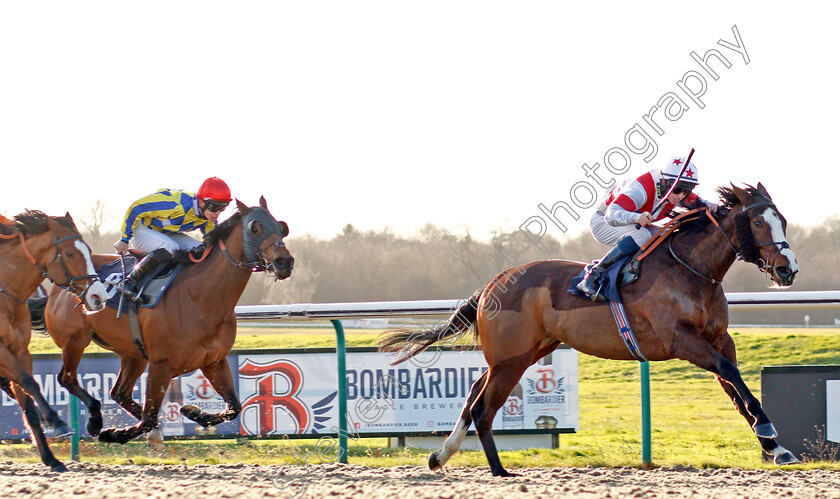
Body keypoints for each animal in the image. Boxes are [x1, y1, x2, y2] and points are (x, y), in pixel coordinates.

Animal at [0, 211, 106, 472]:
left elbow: (28, 403)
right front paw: (57, 422)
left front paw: (50, 458)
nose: (98, 296)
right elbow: (30, 383)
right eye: (68, 253)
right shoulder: (1, 351)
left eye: (89, 250)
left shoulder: (20, 351)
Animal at [32, 197, 296, 448]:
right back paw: (97, 421)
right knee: (67, 378)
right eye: (255, 227)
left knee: (120, 393)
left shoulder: (214, 361)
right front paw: (113, 433)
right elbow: (149, 416)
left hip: (133, 353)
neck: (201, 298)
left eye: (281, 227)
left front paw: (193, 412)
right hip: (75, 340)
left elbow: (234, 407)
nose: (284, 262)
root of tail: (59, 285)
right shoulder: (161, 365)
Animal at [380, 184, 800, 476]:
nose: (787, 269)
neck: (691, 270)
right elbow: (730, 375)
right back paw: (498, 470)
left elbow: (735, 389)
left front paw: (775, 447)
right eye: (758, 222)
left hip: (523, 353)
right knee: (484, 406)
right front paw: (767, 430)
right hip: (511, 358)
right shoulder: (680, 339)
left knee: (473, 394)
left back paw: (441, 455)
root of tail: (493, 283)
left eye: (782, 220)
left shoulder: (718, 338)